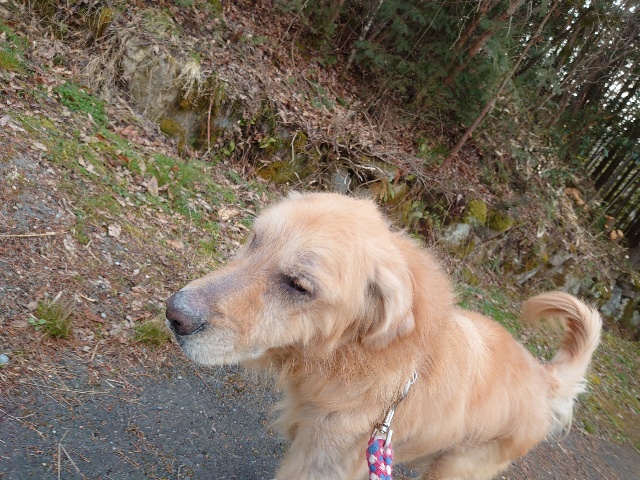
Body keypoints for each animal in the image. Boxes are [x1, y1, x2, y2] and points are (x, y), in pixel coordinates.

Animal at [166, 192, 601, 480]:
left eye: (299, 285)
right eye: (254, 240)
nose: (174, 314)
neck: (347, 359)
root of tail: (545, 380)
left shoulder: (321, 463)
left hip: (456, 469)